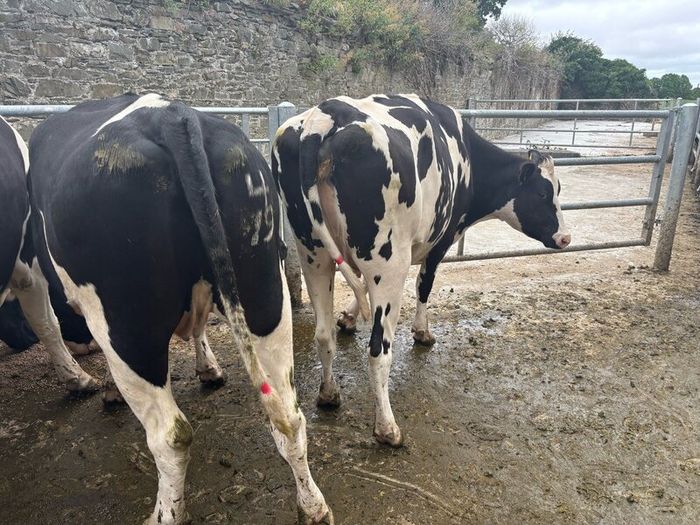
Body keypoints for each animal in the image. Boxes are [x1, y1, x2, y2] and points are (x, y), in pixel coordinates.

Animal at [27, 94, 332, 524]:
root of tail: (170, 114)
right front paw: (209, 369)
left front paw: (110, 392)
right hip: (264, 293)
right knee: (287, 415)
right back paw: (313, 506)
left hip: (128, 325)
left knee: (171, 435)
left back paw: (165, 513)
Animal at [273, 94, 570, 447]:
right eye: (543, 192)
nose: (565, 237)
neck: (468, 159)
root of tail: (324, 116)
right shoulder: (440, 240)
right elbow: (424, 285)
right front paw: (422, 332)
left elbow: (355, 296)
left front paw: (347, 317)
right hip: (389, 263)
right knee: (378, 349)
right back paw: (387, 428)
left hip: (314, 255)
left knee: (323, 334)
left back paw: (329, 395)